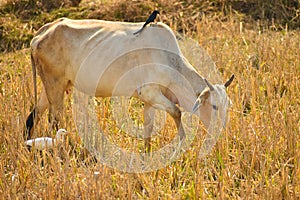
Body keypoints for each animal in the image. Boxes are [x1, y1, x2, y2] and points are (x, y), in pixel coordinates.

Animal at [24, 17, 233, 152]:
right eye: (214, 106)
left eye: (227, 106)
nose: (221, 130)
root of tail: (43, 33)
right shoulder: (150, 92)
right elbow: (176, 112)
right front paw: (181, 143)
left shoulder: (150, 101)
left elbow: (148, 126)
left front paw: (147, 152)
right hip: (55, 84)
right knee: (55, 120)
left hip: (52, 86)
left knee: (33, 116)